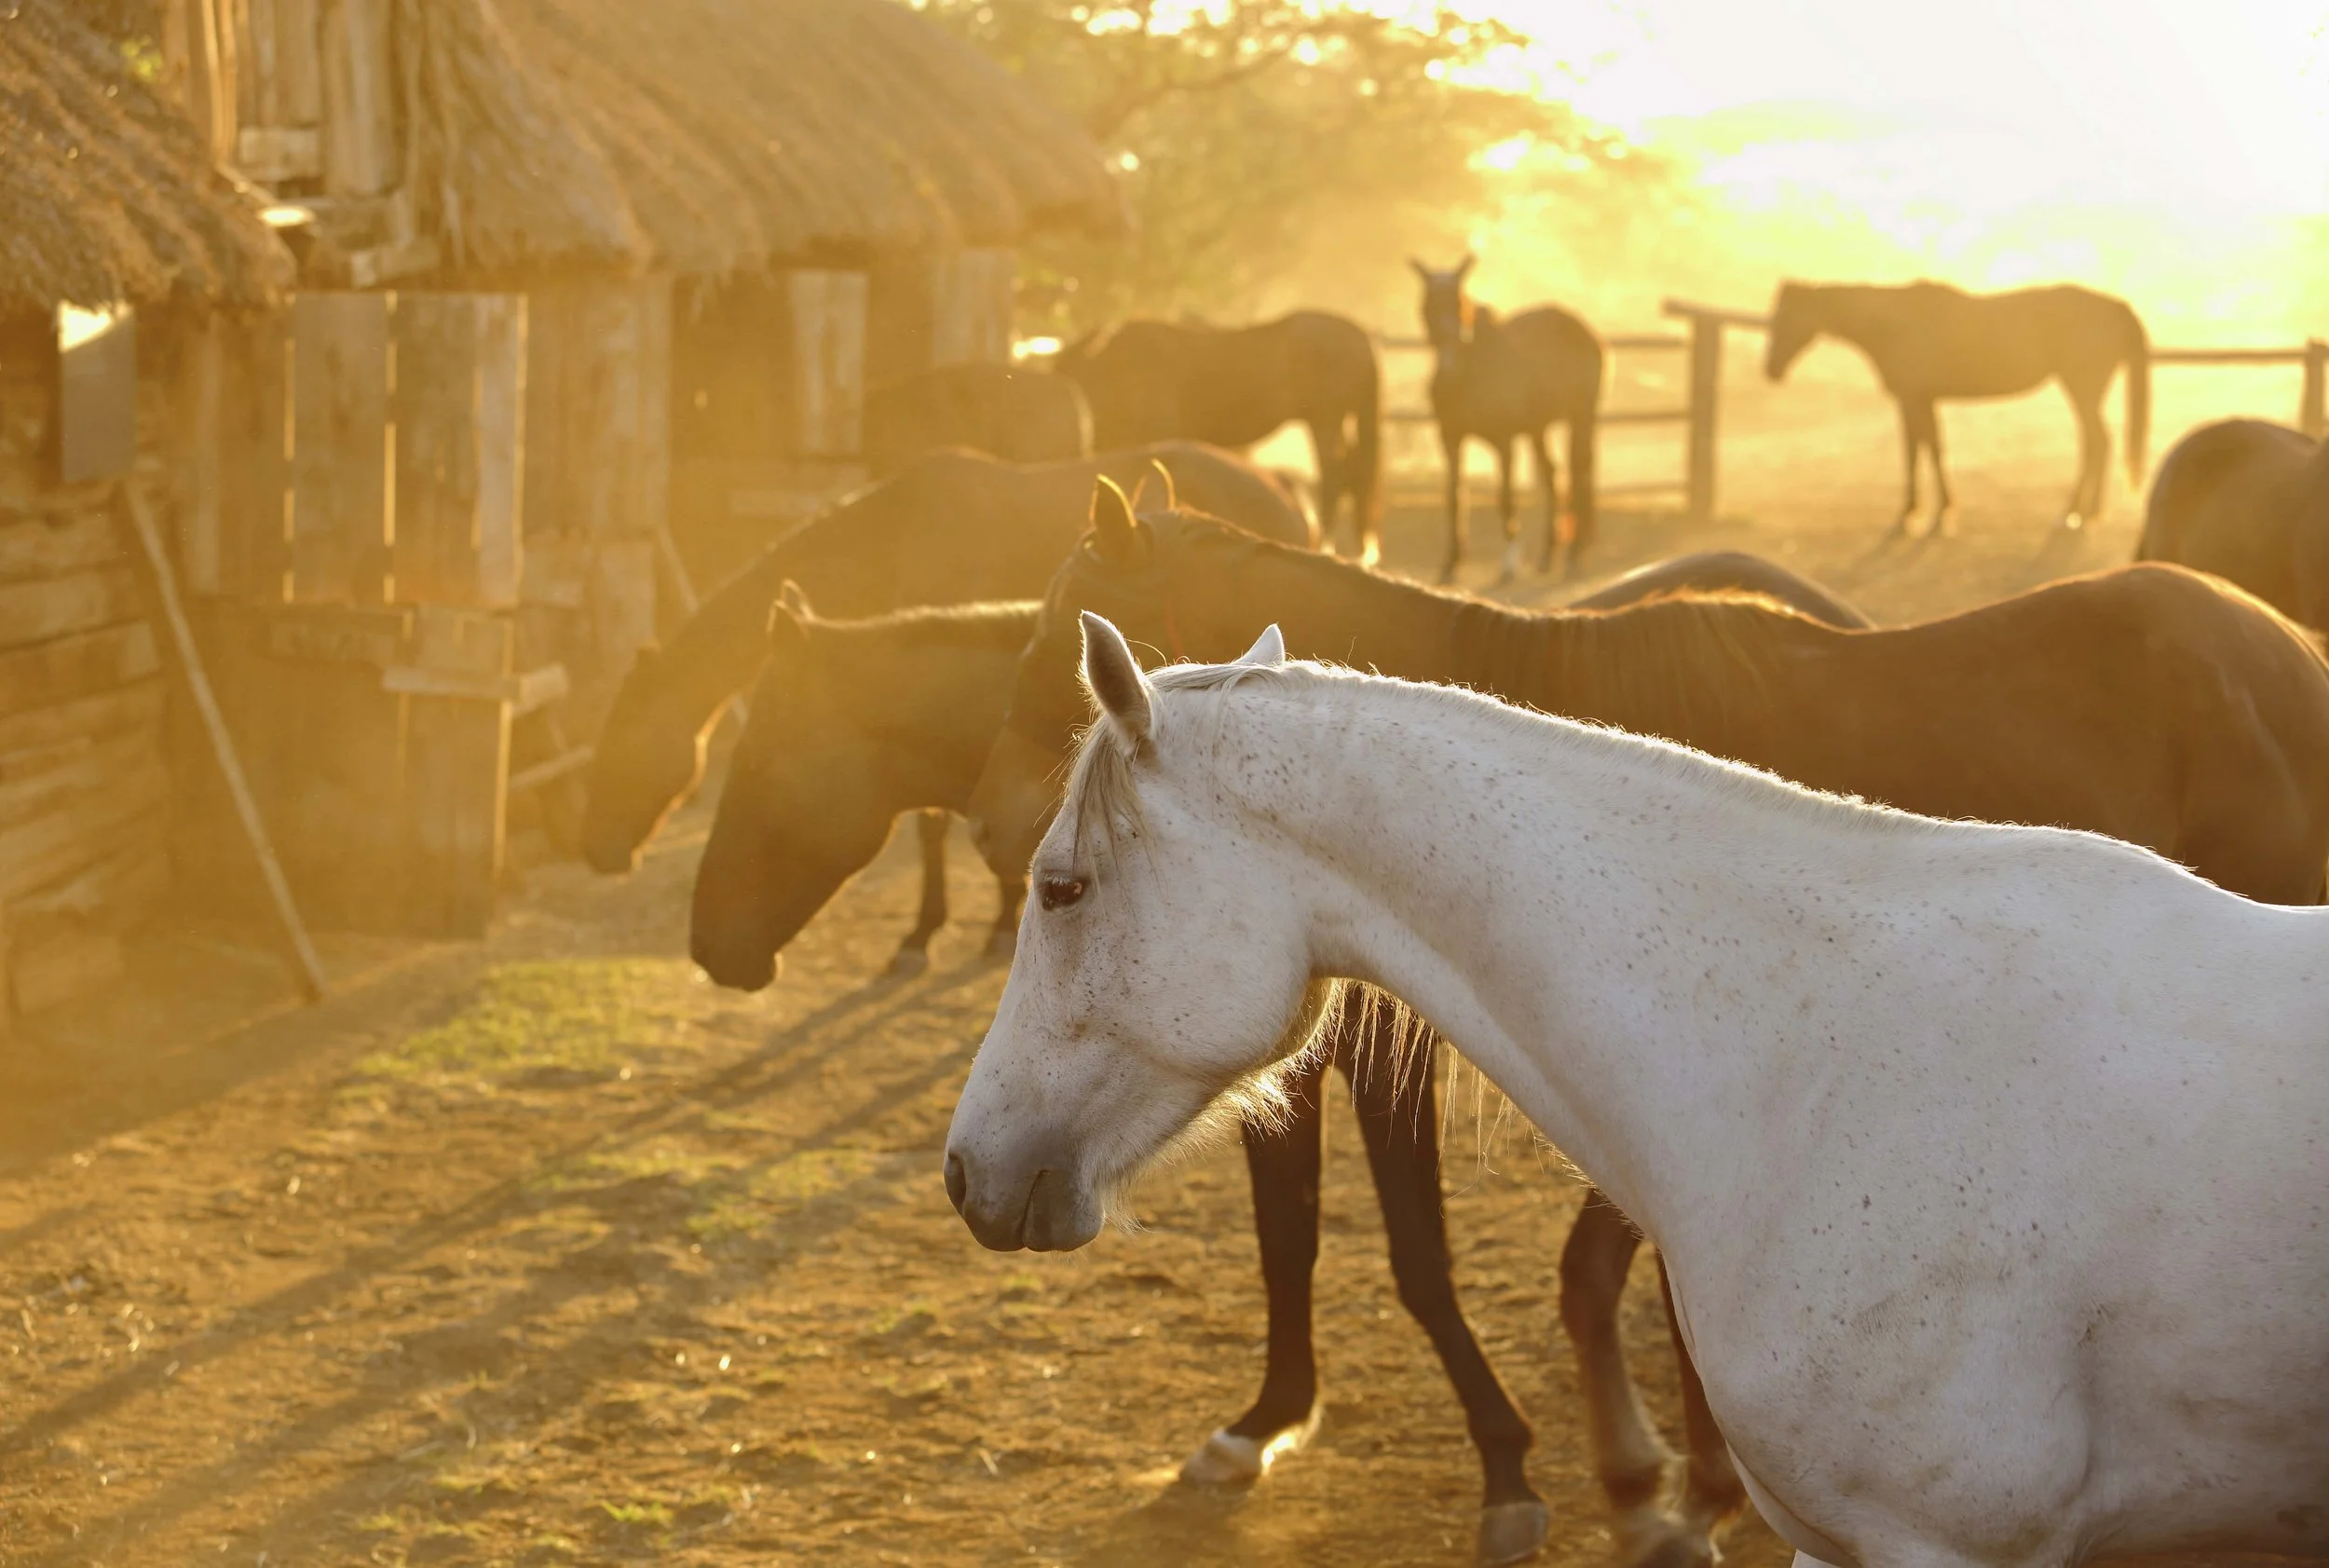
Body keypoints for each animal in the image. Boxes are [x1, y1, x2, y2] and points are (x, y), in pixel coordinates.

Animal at [696, 528, 1874, 1566]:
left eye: (755, 756)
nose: (709, 944)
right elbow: (1286, 1235)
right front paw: (1262, 1421)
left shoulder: (1390, 1065)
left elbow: (1418, 1259)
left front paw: (1509, 1472)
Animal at [1411, 255, 1604, 583]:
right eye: (1427, 306)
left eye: (1460, 303)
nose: (1449, 367)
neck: (1471, 373)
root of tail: (1584, 328)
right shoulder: (1451, 439)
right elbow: (1454, 497)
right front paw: (1450, 563)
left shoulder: (1504, 441)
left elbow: (1505, 497)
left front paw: (1509, 564)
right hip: (1539, 428)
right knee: (1552, 474)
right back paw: (1547, 555)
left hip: (1581, 415)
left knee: (1580, 473)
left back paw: (1575, 554)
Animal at [1764, 280, 2150, 535]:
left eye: (1787, 317)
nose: (1770, 370)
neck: (1894, 323)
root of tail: (2117, 307)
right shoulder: (1922, 400)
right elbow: (1927, 449)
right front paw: (1931, 511)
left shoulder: (1913, 399)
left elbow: (1921, 452)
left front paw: (1921, 514)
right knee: (2096, 444)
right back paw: (2087, 513)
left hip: (2081, 388)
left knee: (2098, 442)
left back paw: (2075, 513)